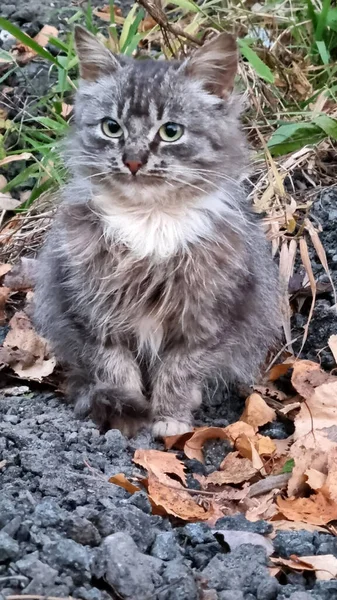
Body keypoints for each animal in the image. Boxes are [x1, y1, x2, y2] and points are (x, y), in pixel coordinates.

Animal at [32, 24, 280, 436]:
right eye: (111, 128)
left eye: (171, 132)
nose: (133, 160)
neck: (150, 220)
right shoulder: (91, 313)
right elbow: (115, 370)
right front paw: (127, 417)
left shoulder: (208, 319)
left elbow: (178, 372)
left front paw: (170, 420)